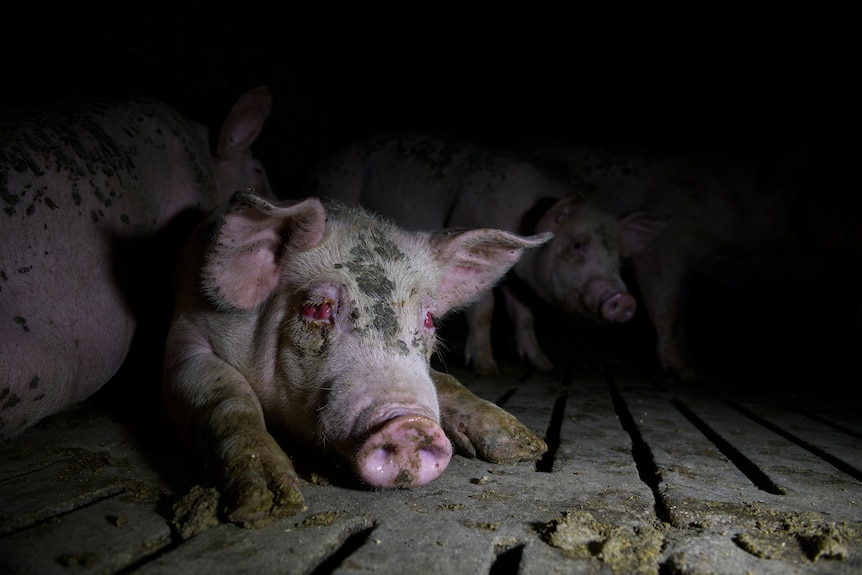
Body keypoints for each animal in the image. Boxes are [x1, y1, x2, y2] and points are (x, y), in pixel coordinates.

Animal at [165, 192, 552, 528]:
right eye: (316, 308)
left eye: (428, 318)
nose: (410, 422)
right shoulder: (187, 335)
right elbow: (227, 397)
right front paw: (270, 502)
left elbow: (446, 380)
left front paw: (524, 447)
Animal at [304, 134, 668, 376]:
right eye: (578, 245)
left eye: (619, 257)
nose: (624, 300)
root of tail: (321, 162)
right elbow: (486, 309)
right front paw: (487, 368)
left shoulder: (518, 278)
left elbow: (523, 313)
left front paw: (543, 365)